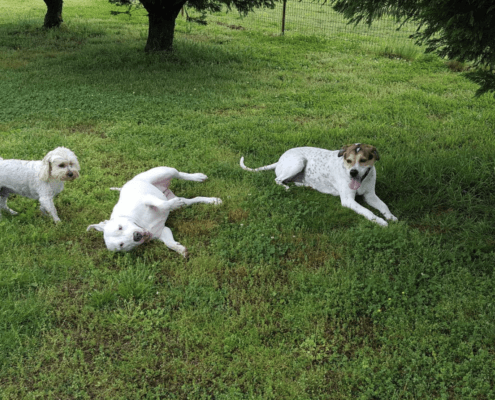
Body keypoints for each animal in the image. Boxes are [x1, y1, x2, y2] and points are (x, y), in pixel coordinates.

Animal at [87, 166, 223, 256]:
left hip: (163, 172)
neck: (142, 224)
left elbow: (161, 204)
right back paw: (213, 201)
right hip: (179, 199)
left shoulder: (147, 198)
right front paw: (179, 249)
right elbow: (169, 243)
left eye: (120, 227)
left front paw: (171, 204)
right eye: (121, 245)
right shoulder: (162, 231)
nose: (136, 236)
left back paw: (197, 177)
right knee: (192, 200)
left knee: (179, 174)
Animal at [240, 143, 400, 225]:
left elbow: (383, 206)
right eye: (348, 160)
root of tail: (279, 160)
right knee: (278, 180)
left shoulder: (370, 195)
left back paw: (305, 186)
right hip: (298, 162)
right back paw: (286, 187)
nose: (353, 173)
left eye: (363, 160)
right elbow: (367, 211)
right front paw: (380, 221)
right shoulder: (348, 200)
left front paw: (391, 217)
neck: (362, 181)